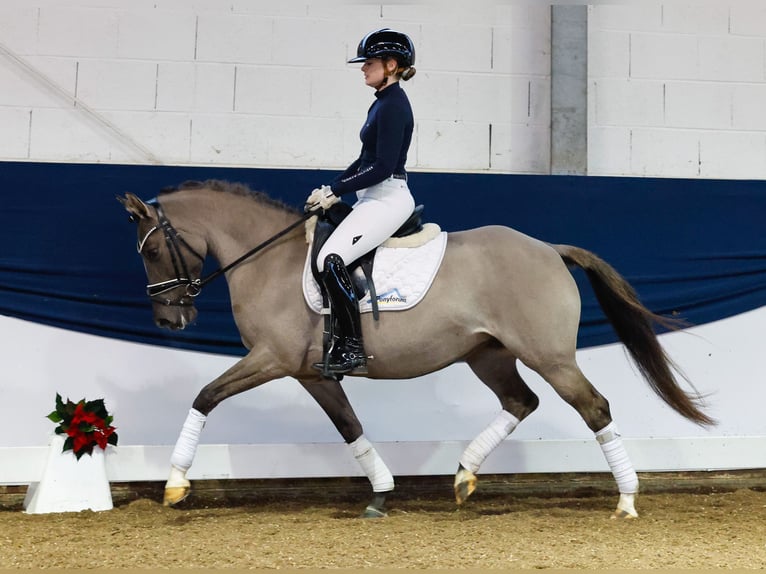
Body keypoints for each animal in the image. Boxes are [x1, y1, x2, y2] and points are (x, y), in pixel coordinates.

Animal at [120, 181, 712, 520]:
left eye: (151, 251)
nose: (170, 320)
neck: (270, 260)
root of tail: (548, 248)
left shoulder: (272, 359)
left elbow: (205, 396)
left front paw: (174, 485)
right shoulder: (311, 373)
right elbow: (350, 427)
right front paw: (381, 493)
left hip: (551, 357)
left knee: (594, 408)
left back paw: (627, 500)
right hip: (488, 354)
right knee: (521, 402)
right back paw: (464, 476)